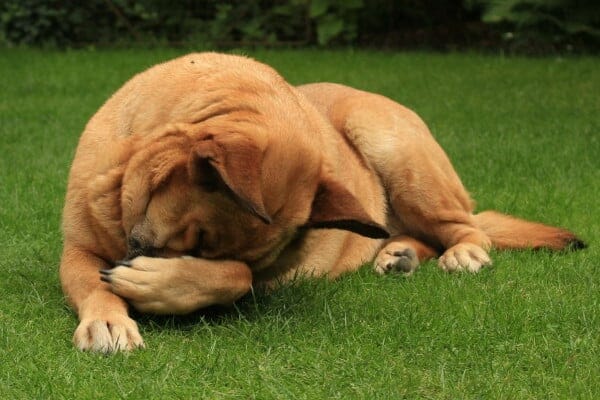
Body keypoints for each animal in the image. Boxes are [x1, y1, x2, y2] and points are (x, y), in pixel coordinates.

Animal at [59, 51, 580, 352]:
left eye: (201, 246)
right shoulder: (76, 251)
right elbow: (92, 282)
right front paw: (109, 320)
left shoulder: (260, 278)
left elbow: (236, 277)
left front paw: (158, 284)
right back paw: (399, 253)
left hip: (390, 143)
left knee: (466, 226)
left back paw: (463, 253)